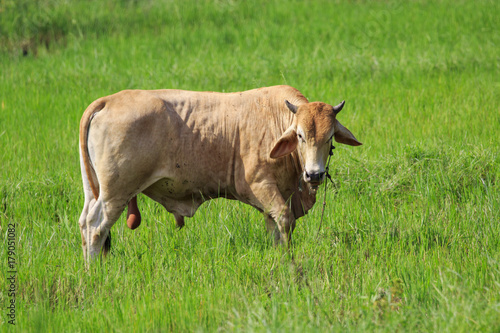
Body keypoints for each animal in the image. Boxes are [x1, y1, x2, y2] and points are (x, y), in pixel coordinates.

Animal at [78, 84, 360, 260]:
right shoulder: (261, 185)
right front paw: (287, 260)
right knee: (95, 226)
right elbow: (285, 220)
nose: (314, 174)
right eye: (300, 135)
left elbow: (274, 228)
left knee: (84, 223)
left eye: (330, 137)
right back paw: (95, 271)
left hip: (95, 191)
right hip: (116, 192)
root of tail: (107, 100)